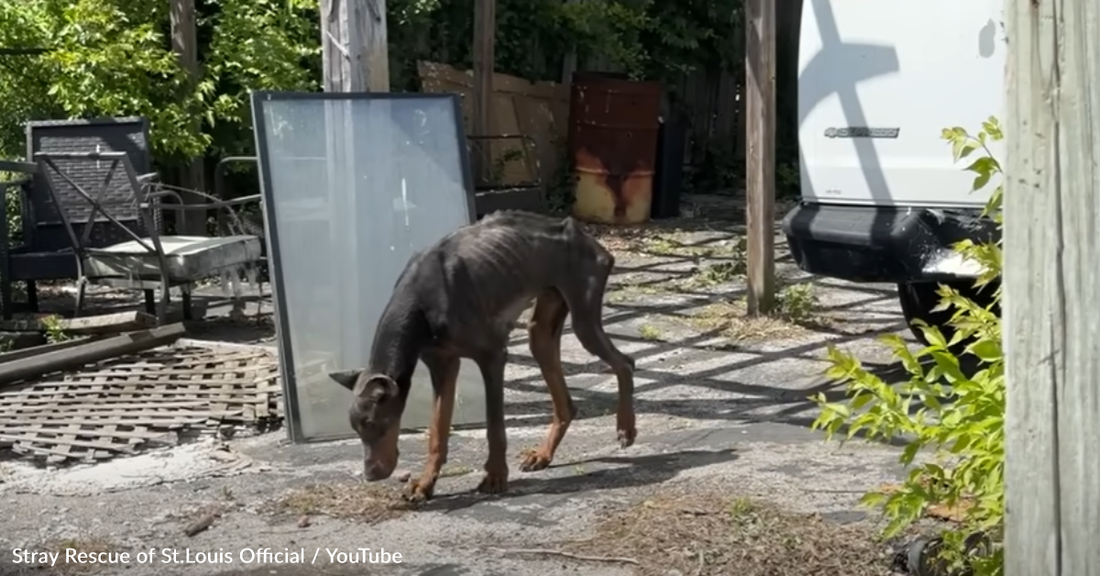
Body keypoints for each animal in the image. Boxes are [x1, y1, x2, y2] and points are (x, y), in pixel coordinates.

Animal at [325, 208, 638, 501]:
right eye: (355, 427)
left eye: (374, 423)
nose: (370, 475)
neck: (421, 299)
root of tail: (583, 234)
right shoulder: (442, 364)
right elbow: (437, 432)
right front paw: (424, 485)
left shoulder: (493, 357)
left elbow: (494, 426)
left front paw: (495, 476)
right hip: (542, 329)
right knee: (566, 400)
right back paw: (543, 455)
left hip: (584, 318)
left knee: (625, 363)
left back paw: (625, 428)